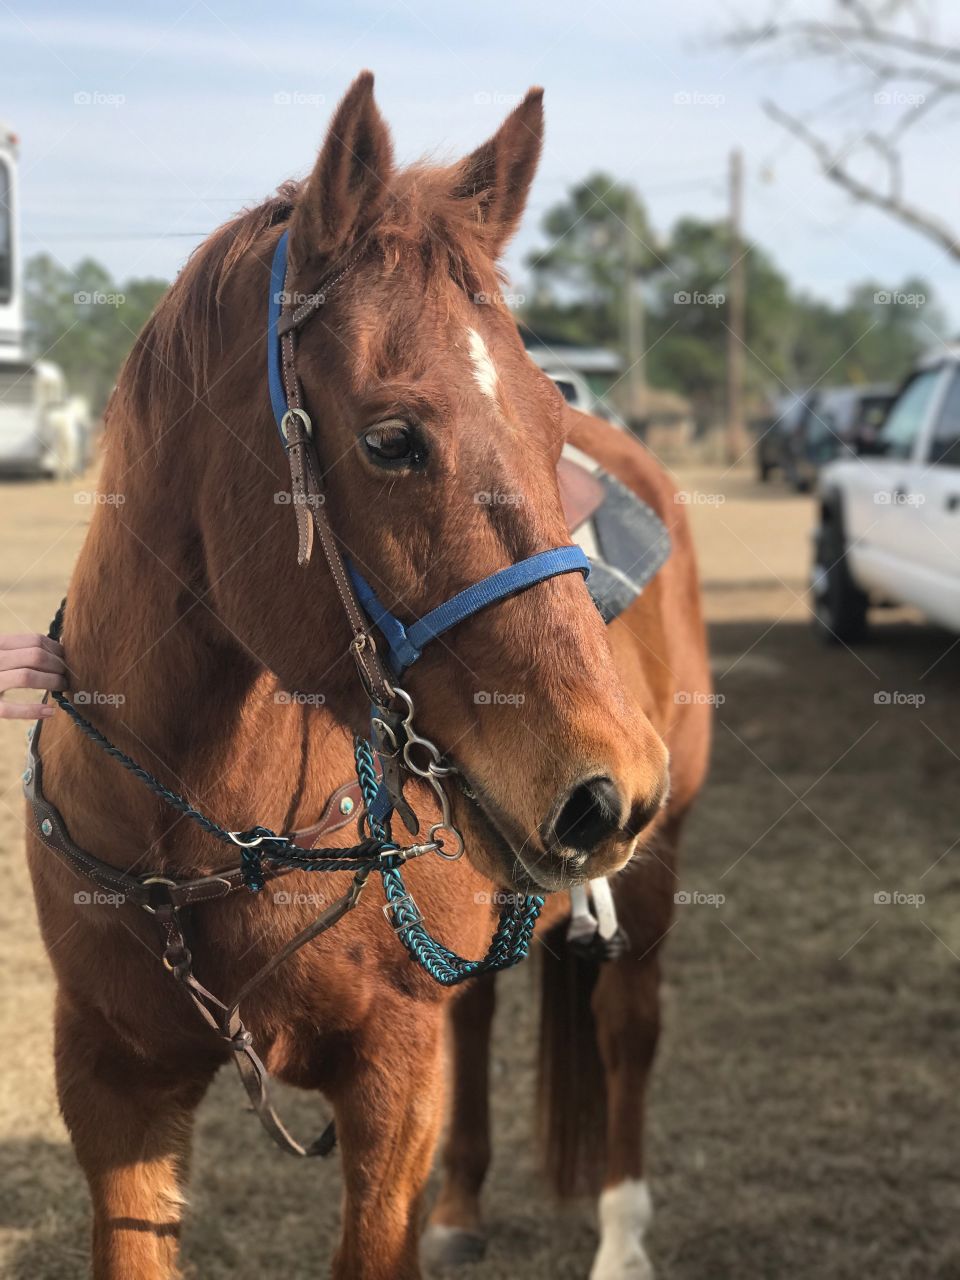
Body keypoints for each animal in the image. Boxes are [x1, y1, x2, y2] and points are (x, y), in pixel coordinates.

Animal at [23, 73, 710, 1279]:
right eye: (391, 439)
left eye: (549, 420)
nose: (609, 783)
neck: (211, 841)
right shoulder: (111, 1085)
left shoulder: (392, 1079)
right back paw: (466, 1204)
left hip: (659, 861)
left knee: (627, 1029)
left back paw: (623, 1239)